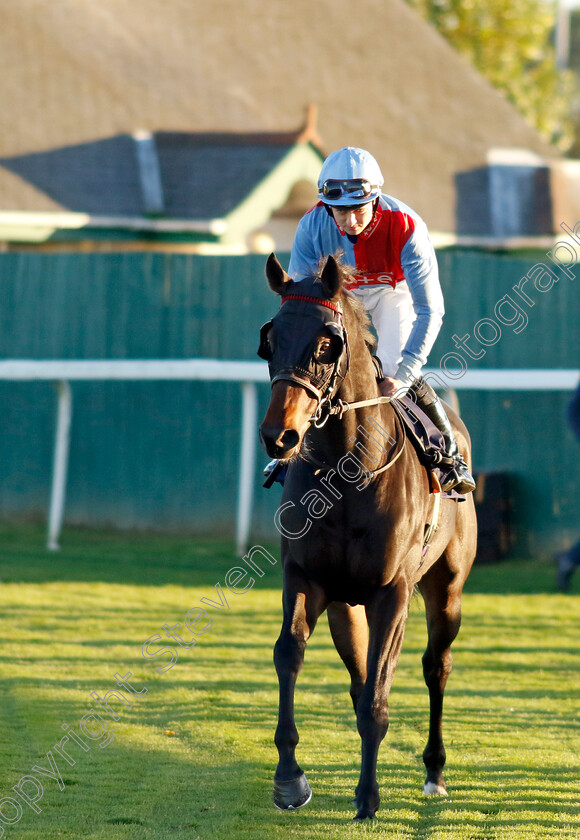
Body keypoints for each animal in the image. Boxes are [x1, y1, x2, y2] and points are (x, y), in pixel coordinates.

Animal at [260, 254, 478, 820]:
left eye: (326, 343)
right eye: (270, 339)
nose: (279, 436)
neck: (346, 474)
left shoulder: (391, 592)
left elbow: (380, 694)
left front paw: (368, 796)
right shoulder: (306, 579)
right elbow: (290, 654)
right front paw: (289, 779)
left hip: (446, 589)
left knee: (436, 666)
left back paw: (434, 772)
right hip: (345, 605)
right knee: (360, 676)